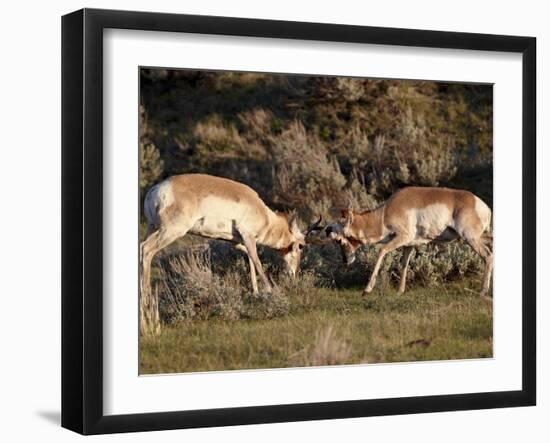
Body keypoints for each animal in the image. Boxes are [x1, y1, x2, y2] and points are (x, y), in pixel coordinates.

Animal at [141, 175, 324, 334]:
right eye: (300, 246)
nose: (294, 273)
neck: (264, 214)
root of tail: (156, 189)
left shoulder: (237, 241)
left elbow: (250, 260)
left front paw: (256, 293)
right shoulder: (248, 236)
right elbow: (257, 262)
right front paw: (272, 293)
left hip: (153, 228)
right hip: (171, 231)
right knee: (146, 249)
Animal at [322, 186, 494, 294]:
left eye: (338, 240)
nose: (346, 261)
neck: (385, 212)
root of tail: (482, 205)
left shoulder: (403, 237)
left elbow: (382, 251)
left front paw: (367, 289)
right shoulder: (408, 245)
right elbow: (404, 264)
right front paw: (400, 291)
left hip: (470, 238)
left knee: (488, 255)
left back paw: (483, 291)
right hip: (475, 237)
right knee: (491, 244)